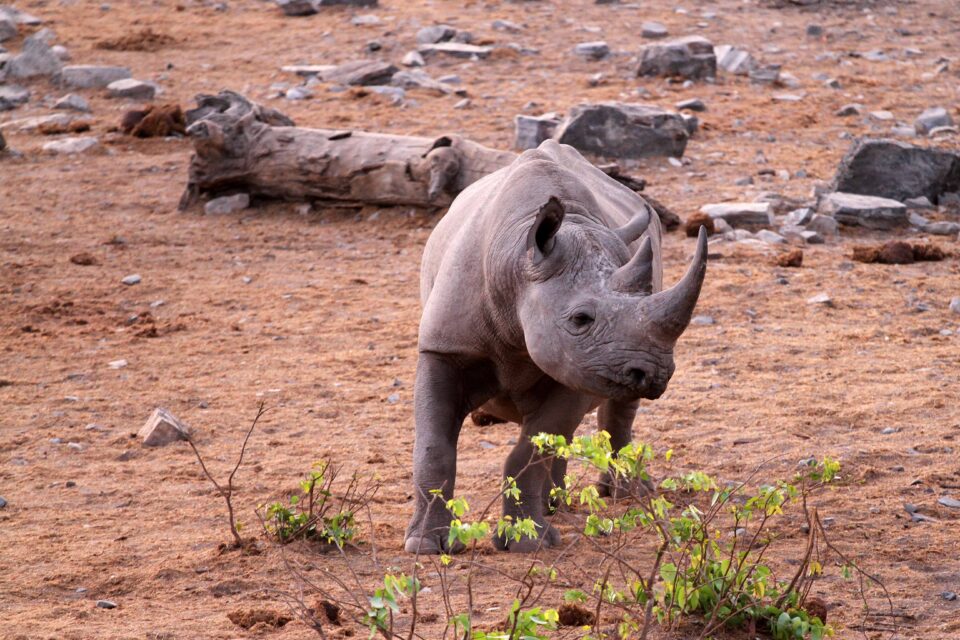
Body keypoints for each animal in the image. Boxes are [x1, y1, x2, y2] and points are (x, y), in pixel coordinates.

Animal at [404, 140, 707, 554]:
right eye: (580, 319)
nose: (655, 373)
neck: (517, 266)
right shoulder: (444, 348)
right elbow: (433, 446)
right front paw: (425, 544)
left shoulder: (585, 366)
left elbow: (536, 445)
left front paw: (527, 543)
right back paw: (554, 503)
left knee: (607, 415)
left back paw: (625, 494)